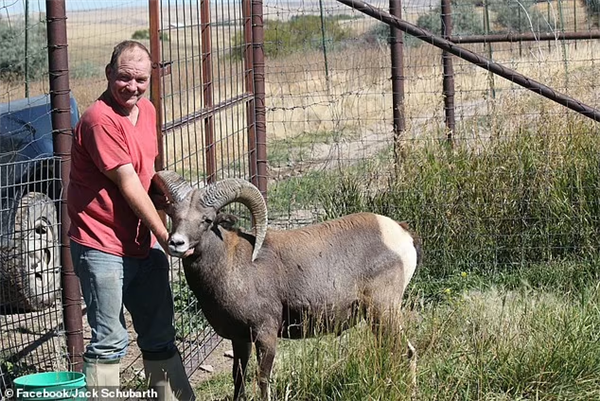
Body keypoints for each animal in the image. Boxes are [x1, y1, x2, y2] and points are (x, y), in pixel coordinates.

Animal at [152, 170, 420, 398]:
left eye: (206, 220)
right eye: (174, 216)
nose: (176, 243)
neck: (232, 265)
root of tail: (400, 233)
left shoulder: (266, 335)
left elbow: (262, 380)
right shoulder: (239, 339)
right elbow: (238, 378)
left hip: (383, 311)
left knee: (405, 352)